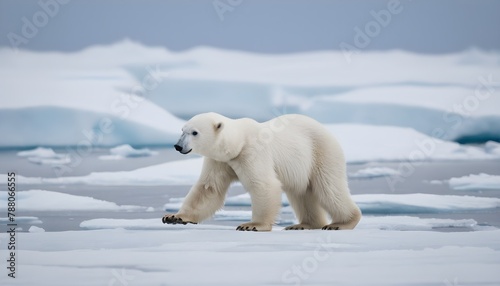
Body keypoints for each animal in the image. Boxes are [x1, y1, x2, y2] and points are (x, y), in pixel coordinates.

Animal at [162, 113, 362, 231]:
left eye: (194, 132)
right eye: (182, 130)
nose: (178, 146)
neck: (238, 143)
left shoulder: (252, 153)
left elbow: (263, 184)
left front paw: (252, 225)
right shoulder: (220, 161)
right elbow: (209, 188)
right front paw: (174, 217)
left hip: (321, 152)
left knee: (329, 188)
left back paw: (341, 223)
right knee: (302, 193)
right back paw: (303, 225)